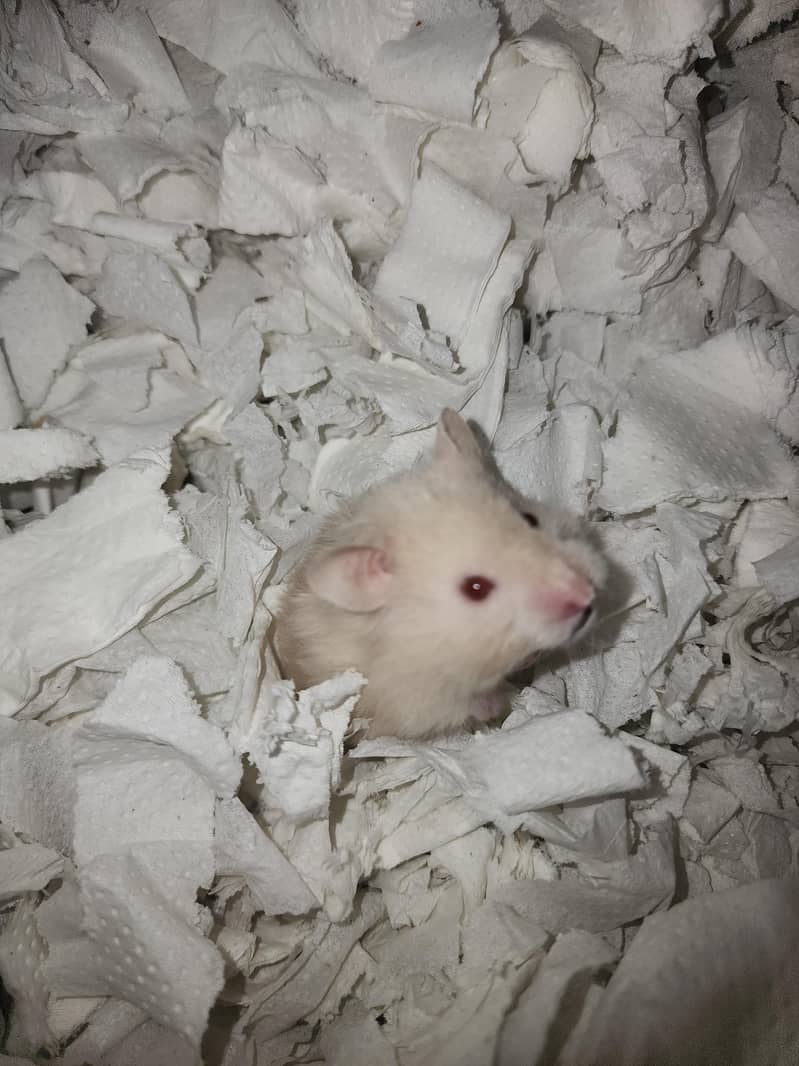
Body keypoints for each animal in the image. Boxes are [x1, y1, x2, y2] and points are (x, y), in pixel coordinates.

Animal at [274, 408, 607, 740]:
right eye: (475, 588)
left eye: (530, 519)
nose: (586, 597)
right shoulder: (413, 703)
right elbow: (459, 708)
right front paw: (499, 702)